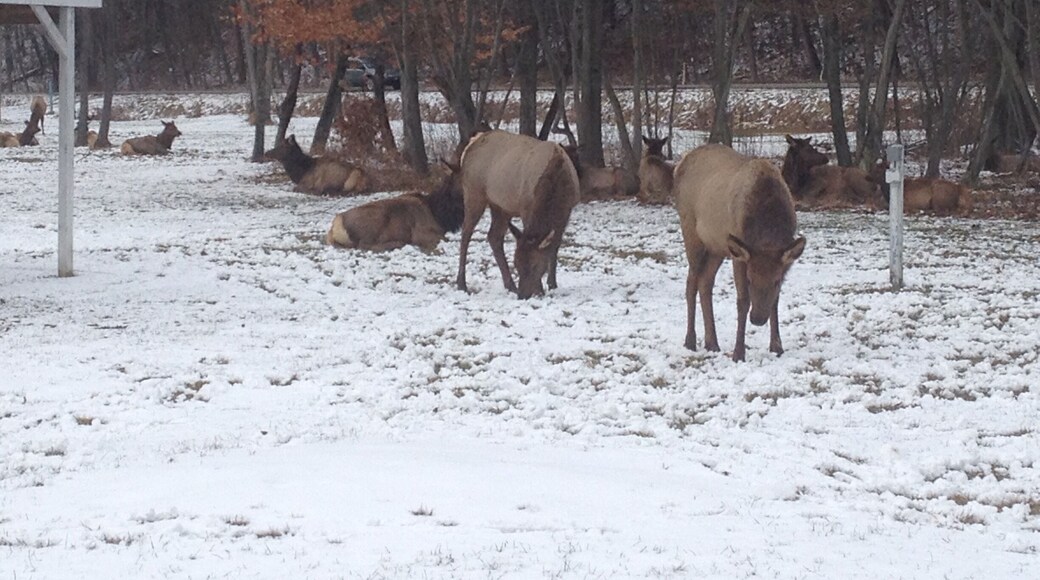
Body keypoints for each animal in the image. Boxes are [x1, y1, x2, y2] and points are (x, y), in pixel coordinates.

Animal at [675, 144, 806, 362]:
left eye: (776, 281)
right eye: (750, 280)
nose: (758, 319)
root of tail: (679, 164)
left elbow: (776, 301)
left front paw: (777, 346)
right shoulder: (740, 256)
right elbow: (742, 301)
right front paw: (738, 353)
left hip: (716, 246)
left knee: (705, 282)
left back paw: (712, 342)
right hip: (691, 231)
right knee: (691, 283)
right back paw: (690, 340)